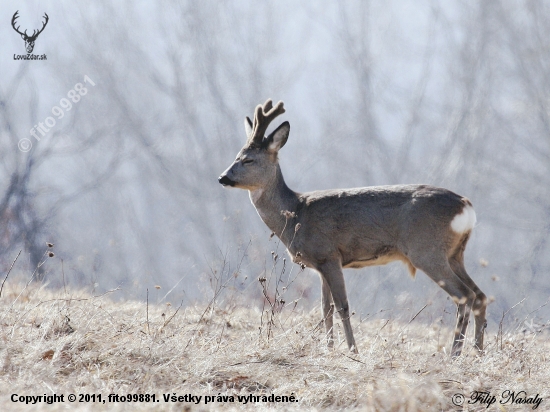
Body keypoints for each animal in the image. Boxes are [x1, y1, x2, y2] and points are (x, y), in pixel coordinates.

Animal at [219, 98, 488, 356]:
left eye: (248, 160)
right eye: (235, 156)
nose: (222, 177)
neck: (295, 214)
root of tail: (466, 205)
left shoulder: (328, 255)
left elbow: (342, 306)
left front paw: (352, 349)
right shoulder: (320, 264)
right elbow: (325, 308)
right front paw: (328, 349)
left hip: (426, 250)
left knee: (465, 295)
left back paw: (455, 353)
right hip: (455, 253)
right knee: (480, 295)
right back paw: (477, 351)